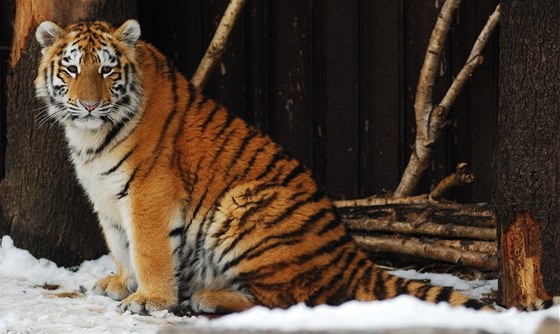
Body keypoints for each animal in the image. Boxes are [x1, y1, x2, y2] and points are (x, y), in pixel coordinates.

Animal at [31, 19, 560, 314]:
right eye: (72, 69)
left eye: (106, 69)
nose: (90, 104)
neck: (89, 138)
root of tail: (353, 257)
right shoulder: (106, 196)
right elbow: (120, 245)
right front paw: (119, 284)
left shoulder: (150, 194)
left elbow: (149, 250)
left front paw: (148, 300)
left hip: (243, 208)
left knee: (290, 300)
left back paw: (207, 295)